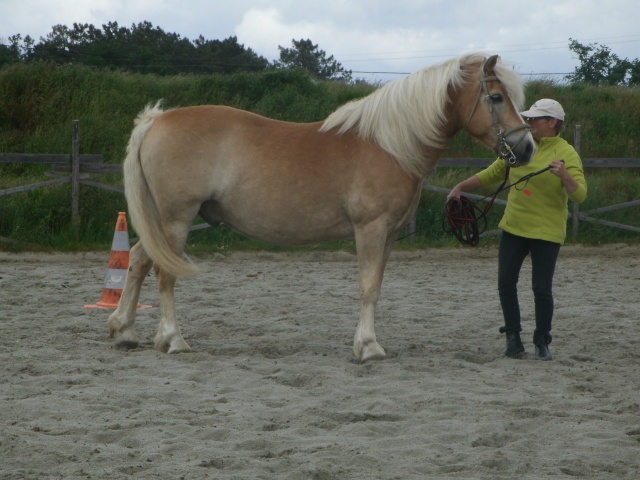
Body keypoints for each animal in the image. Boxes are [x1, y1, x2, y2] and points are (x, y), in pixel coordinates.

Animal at [109, 53, 536, 360]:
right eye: (496, 97)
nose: (527, 147)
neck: (389, 146)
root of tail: (156, 120)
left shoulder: (389, 235)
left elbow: (376, 286)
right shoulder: (370, 228)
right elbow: (367, 287)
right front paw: (367, 347)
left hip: (162, 223)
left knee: (137, 260)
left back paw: (125, 330)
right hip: (177, 220)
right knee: (164, 274)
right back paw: (173, 340)